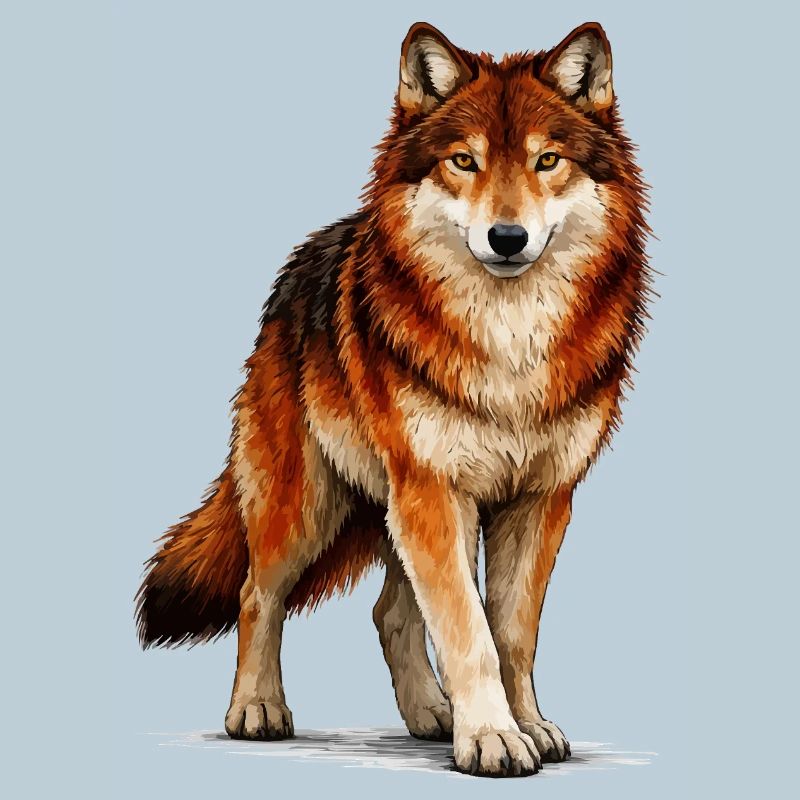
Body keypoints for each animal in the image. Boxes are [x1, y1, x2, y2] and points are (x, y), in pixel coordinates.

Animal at [136, 21, 650, 777]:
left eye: (547, 161)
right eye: (464, 162)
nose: (507, 238)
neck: (509, 344)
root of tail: (302, 263)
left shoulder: (540, 500)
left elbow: (512, 633)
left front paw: (526, 725)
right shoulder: (434, 490)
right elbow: (470, 632)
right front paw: (493, 738)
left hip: (399, 510)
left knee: (390, 612)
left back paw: (432, 715)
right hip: (311, 505)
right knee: (259, 594)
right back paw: (257, 710)